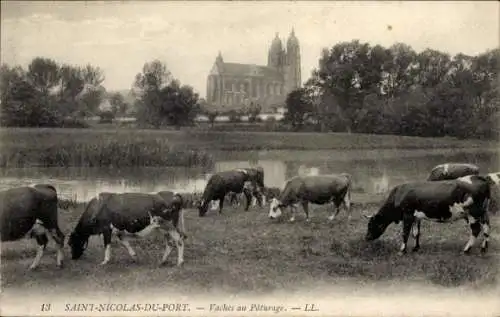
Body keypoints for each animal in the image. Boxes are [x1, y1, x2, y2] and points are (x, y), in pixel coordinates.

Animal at [364, 175, 492, 254]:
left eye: (371, 225)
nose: (366, 238)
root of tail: (478, 177)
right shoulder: (416, 217)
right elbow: (416, 233)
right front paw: (416, 248)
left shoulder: (407, 214)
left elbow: (405, 233)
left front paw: (402, 250)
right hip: (483, 212)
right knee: (486, 228)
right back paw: (484, 248)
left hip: (473, 213)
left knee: (476, 229)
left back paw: (466, 250)